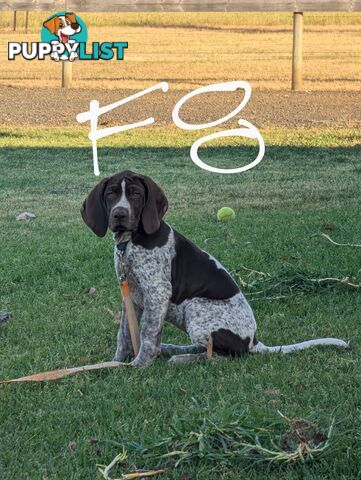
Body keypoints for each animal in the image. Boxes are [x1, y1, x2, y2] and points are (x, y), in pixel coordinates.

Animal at [81, 171, 346, 366]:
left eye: (135, 194)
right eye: (111, 194)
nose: (119, 214)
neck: (130, 241)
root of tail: (253, 341)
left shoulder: (157, 293)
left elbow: (147, 334)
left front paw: (138, 365)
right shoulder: (131, 295)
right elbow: (125, 334)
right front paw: (116, 362)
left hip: (196, 308)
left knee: (221, 356)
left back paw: (183, 358)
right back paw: (172, 349)